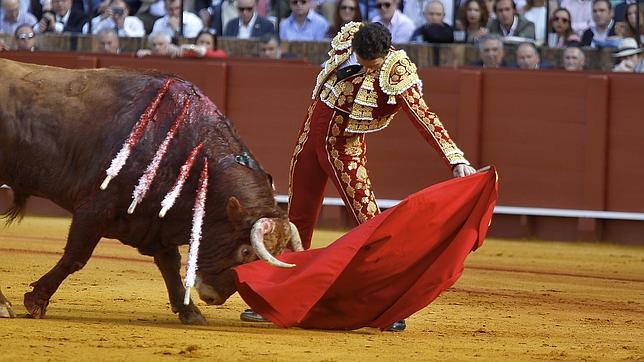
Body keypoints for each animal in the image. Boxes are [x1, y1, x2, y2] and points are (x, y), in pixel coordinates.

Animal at [0, 59, 302, 326]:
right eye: (245, 252)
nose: (214, 297)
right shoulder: (94, 208)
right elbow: (75, 257)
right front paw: (36, 301)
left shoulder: (156, 221)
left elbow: (170, 265)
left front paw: (189, 311)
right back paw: (4, 305)